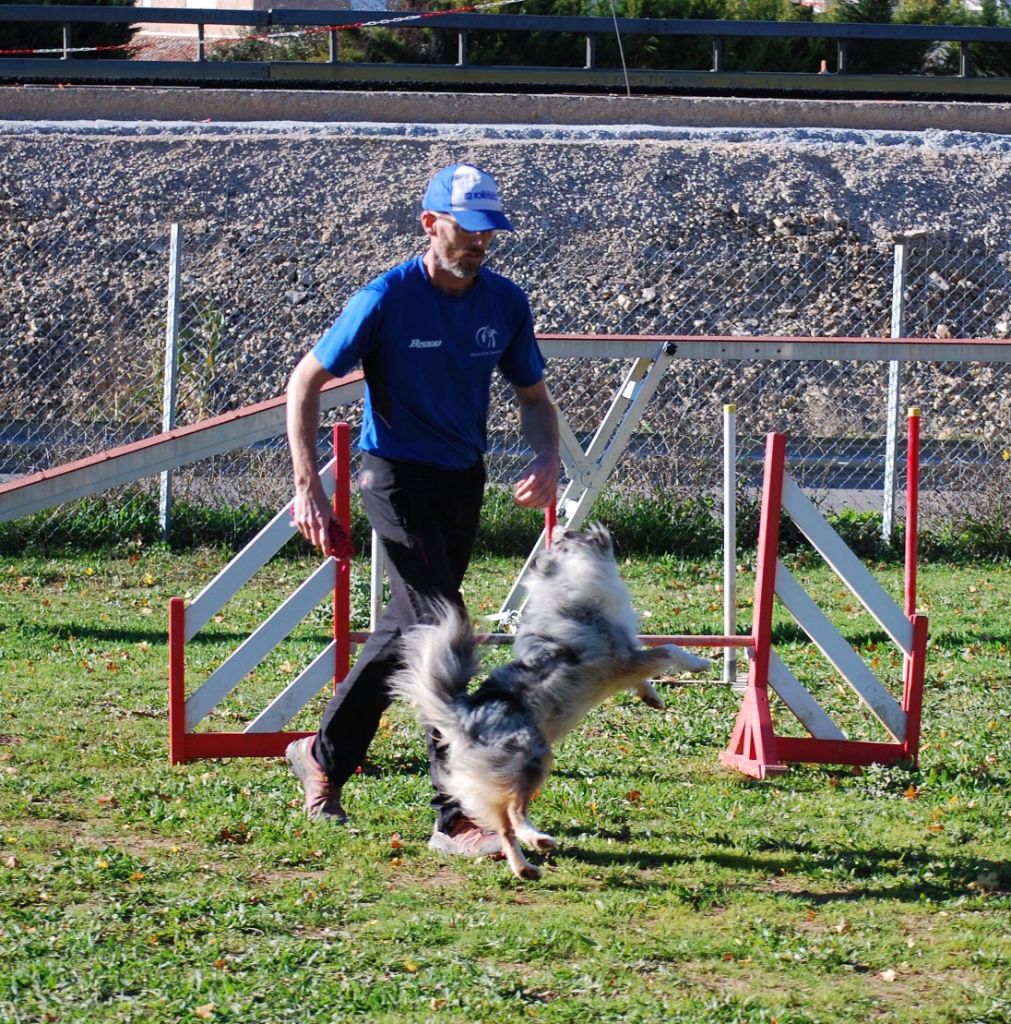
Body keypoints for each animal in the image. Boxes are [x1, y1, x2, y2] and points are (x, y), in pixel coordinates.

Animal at [389, 528, 712, 880]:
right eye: (582, 536)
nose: (600, 530)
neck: (571, 579)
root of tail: (463, 714)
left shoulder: (626, 663)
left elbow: (646, 676)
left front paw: (653, 698)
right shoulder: (622, 658)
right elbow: (669, 649)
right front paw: (699, 663)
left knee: (504, 826)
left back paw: (525, 868)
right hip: (533, 757)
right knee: (515, 813)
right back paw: (539, 839)